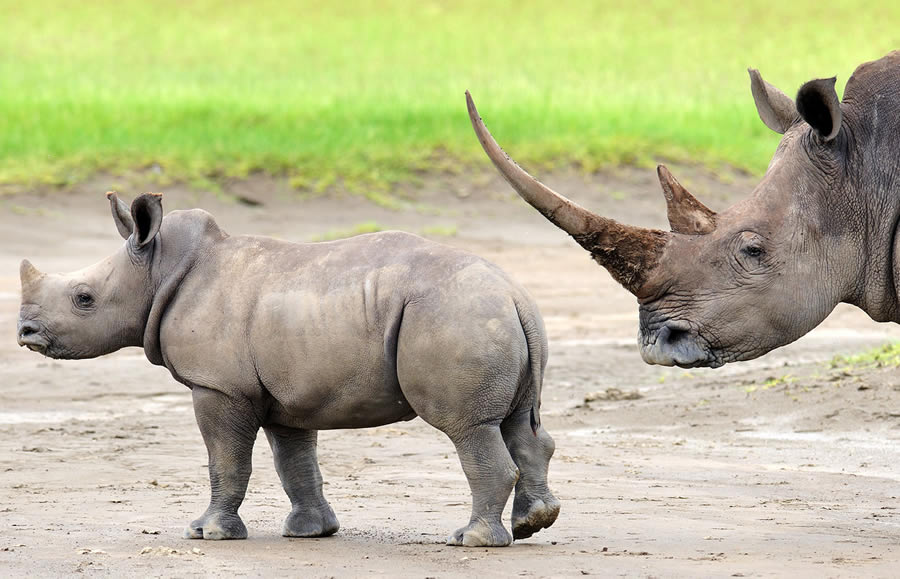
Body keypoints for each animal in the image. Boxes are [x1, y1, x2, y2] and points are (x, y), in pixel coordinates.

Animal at [17, 194, 560, 548]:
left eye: (83, 299)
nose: (24, 332)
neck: (158, 270)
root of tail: (515, 294)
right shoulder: (289, 393)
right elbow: (295, 463)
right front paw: (310, 532)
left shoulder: (218, 386)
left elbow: (226, 458)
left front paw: (208, 532)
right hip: (488, 316)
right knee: (518, 422)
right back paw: (532, 524)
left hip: (453, 315)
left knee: (468, 426)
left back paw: (472, 540)